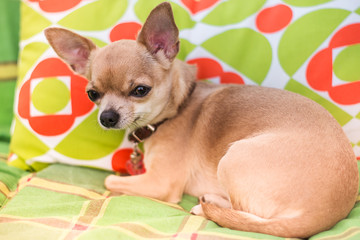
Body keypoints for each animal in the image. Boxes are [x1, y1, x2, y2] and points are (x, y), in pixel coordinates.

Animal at [44, 2, 358, 238]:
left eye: (140, 90)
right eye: (92, 94)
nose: (107, 117)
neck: (178, 107)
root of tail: (324, 215)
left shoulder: (158, 183)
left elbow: (110, 180)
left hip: (233, 158)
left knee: (251, 216)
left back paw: (207, 204)